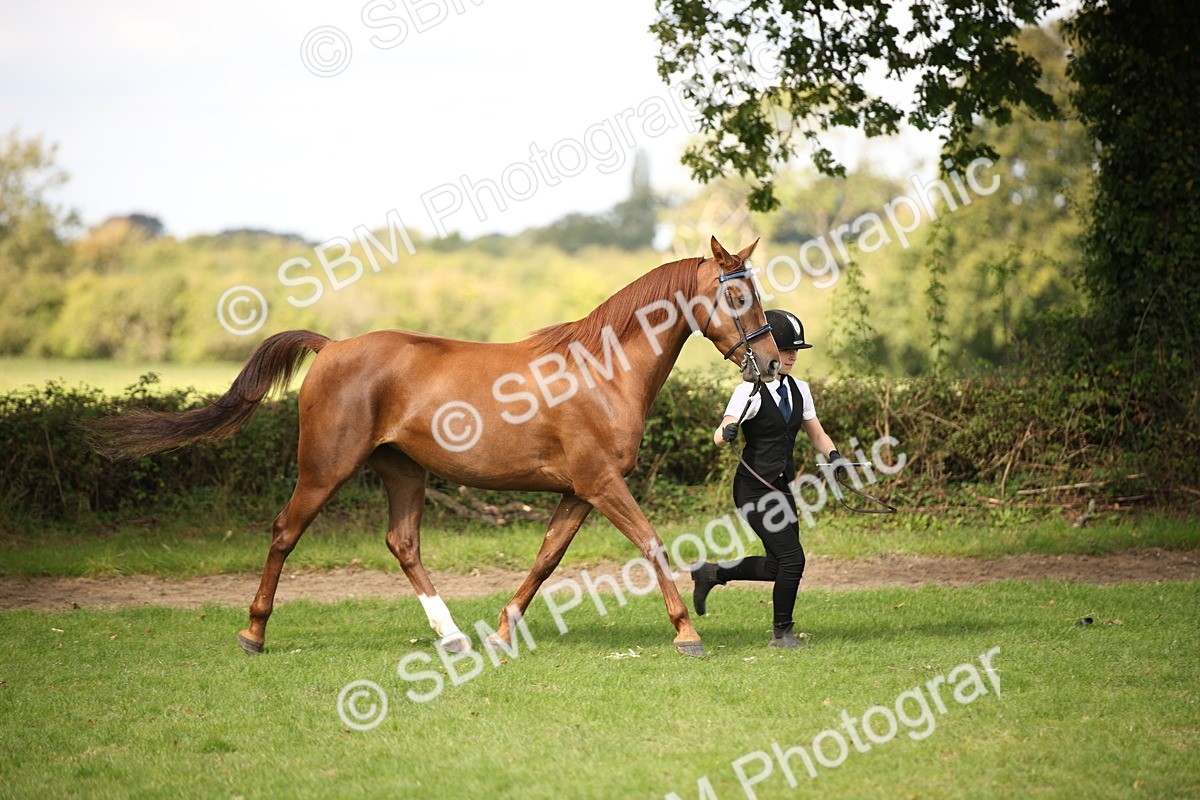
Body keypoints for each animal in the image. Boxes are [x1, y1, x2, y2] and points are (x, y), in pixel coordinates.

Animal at [90, 237, 780, 657]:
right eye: (736, 294)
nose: (772, 363)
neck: (603, 370)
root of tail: (332, 347)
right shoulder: (602, 485)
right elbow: (652, 543)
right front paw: (686, 632)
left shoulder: (578, 492)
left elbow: (546, 559)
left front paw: (502, 631)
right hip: (325, 469)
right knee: (285, 532)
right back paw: (254, 632)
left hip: (404, 472)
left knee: (402, 543)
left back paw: (451, 635)